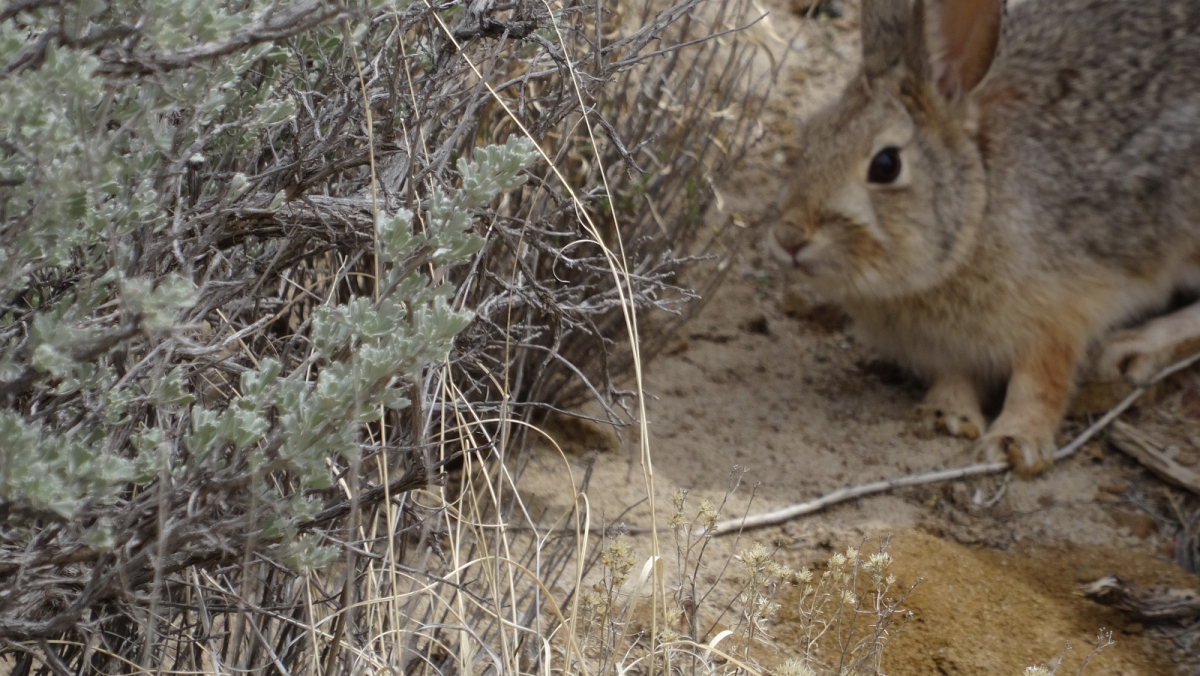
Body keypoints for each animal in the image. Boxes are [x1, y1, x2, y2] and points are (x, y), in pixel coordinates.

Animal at [768, 0, 1200, 475]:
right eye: (811, 136)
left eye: (885, 165)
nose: (789, 237)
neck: (976, 213)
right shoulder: (946, 350)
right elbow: (954, 377)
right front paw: (945, 415)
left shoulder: (1061, 314)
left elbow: (1039, 382)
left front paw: (1015, 441)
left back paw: (1132, 348)